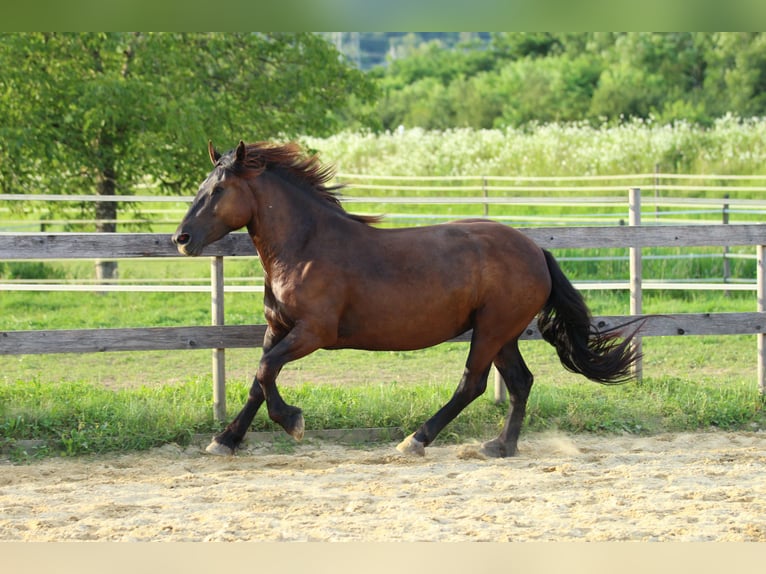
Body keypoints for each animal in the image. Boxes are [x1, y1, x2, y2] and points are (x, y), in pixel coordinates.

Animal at [174, 140, 640, 460]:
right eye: (202, 186)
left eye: (218, 190)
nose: (181, 238)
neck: (304, 248)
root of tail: (536, 250)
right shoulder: (279, 328)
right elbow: (259, 380)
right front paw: (225, 440)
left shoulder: (313, 333)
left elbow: (265, 370)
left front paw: (293, 422)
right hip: (503, 333)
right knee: (520, 381)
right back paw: (500, 446)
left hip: (491, 329)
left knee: (472, 383)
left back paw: (416, 440)